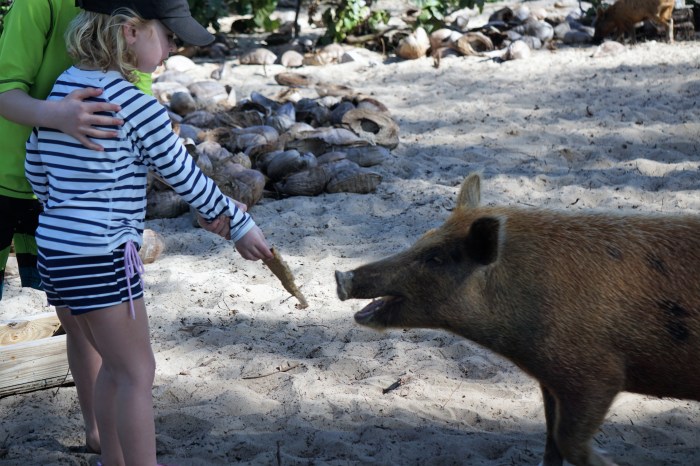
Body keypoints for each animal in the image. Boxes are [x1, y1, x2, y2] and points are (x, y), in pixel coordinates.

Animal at [335, 173, 700, 466]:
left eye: (435, 258)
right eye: (423, 236)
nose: (342, 276)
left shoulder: (599, 374)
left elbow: (568, 441)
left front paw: (609, 462)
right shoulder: (552, 381)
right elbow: (551, 442)